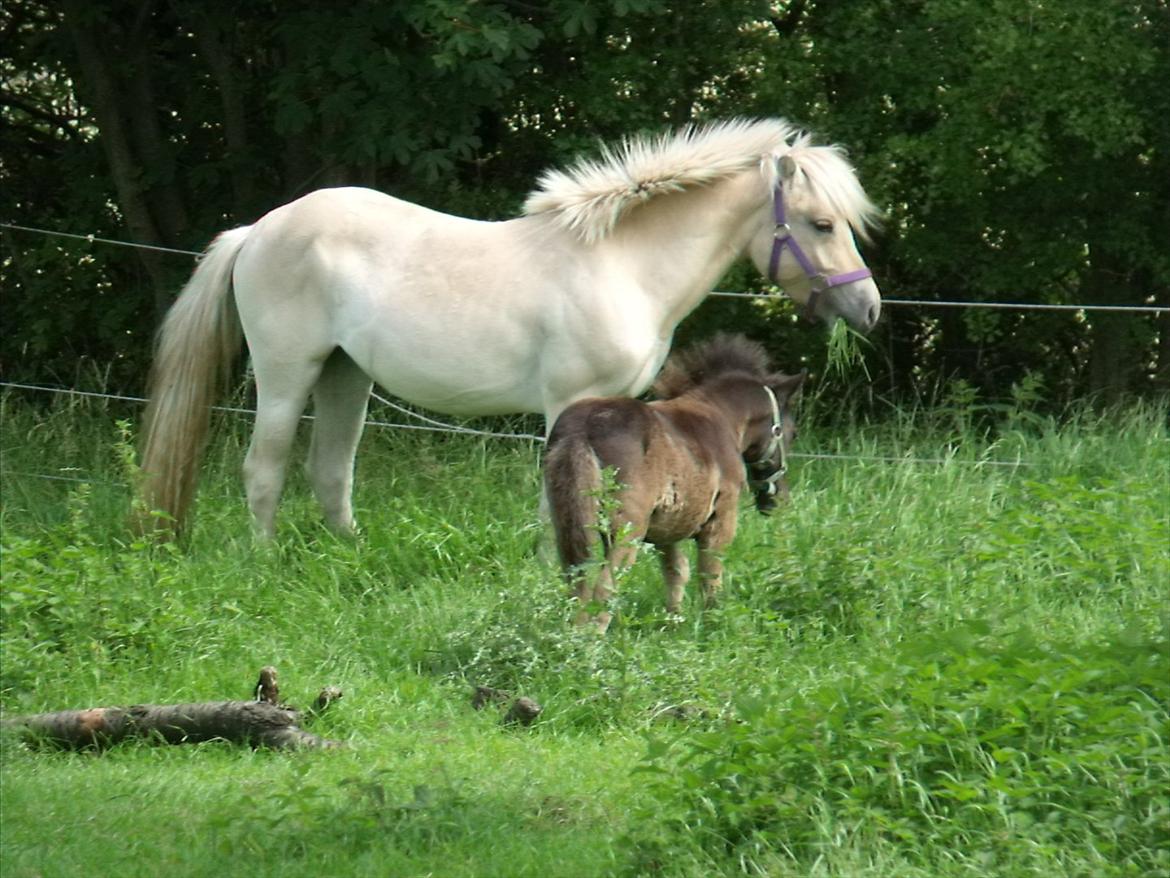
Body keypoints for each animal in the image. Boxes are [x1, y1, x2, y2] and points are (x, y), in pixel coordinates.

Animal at [139, 118, 879, 536]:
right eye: (821, 223)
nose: (868, 308)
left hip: (346, 376)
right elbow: (567, 495)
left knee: (330, 472)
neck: (622, 263)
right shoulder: (569, 403)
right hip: (287, 374)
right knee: (263, 471)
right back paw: (262, 562)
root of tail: (258, 229)